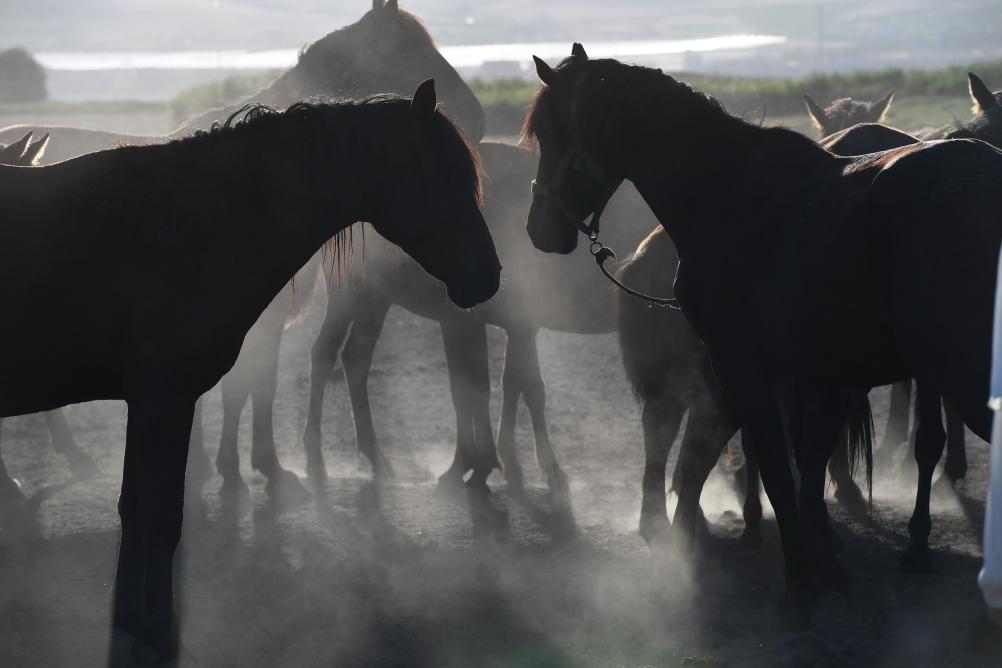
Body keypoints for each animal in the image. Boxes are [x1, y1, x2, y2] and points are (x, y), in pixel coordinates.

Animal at [0, 85, 501, 664]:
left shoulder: (156, 402)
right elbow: (156, 517)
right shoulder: (163, 399)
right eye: (441, 176)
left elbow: (146, 514)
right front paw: (148, 634)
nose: (491, 276)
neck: (187, 226)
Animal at [300, 141, 657, 494]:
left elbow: (509, 385)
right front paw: (481, 462)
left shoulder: (512, 323)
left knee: (351, 357)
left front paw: (505, 462)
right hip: (355, 296)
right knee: (328, 354)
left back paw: (370, 457)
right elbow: (480, 388)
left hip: (372, 300)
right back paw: (319, 456)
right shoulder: (471, 321)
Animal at [525, 45, 1002, 620]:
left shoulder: (745, 367)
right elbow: (803, 467)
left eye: (552, 131)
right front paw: (823, 565)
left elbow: (777, 464)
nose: (538, 228)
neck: (729, 192)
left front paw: (799, 583)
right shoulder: (809, 373)